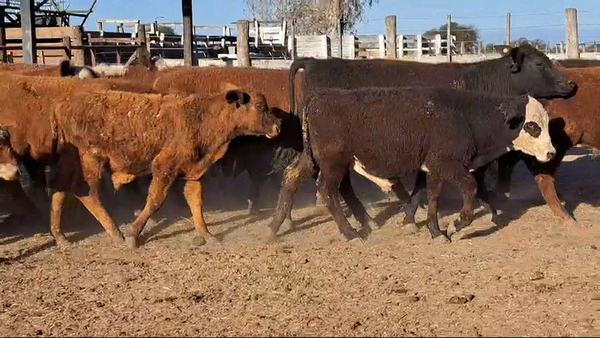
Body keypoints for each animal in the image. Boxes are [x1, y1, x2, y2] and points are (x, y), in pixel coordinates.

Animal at [302, 86, 556, 242]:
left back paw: (364, 224)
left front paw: (434, 230)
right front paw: (455, 224)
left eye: (546, 123)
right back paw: (350, 233)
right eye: (532, 126)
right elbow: (470, 188)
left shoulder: (433, 169)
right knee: (327, 191)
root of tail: (318, 98)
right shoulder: (447, 165)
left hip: (342, 165)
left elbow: (431, 197)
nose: (551, 153)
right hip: (332, 165)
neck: (467, 118)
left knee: (343, 190)